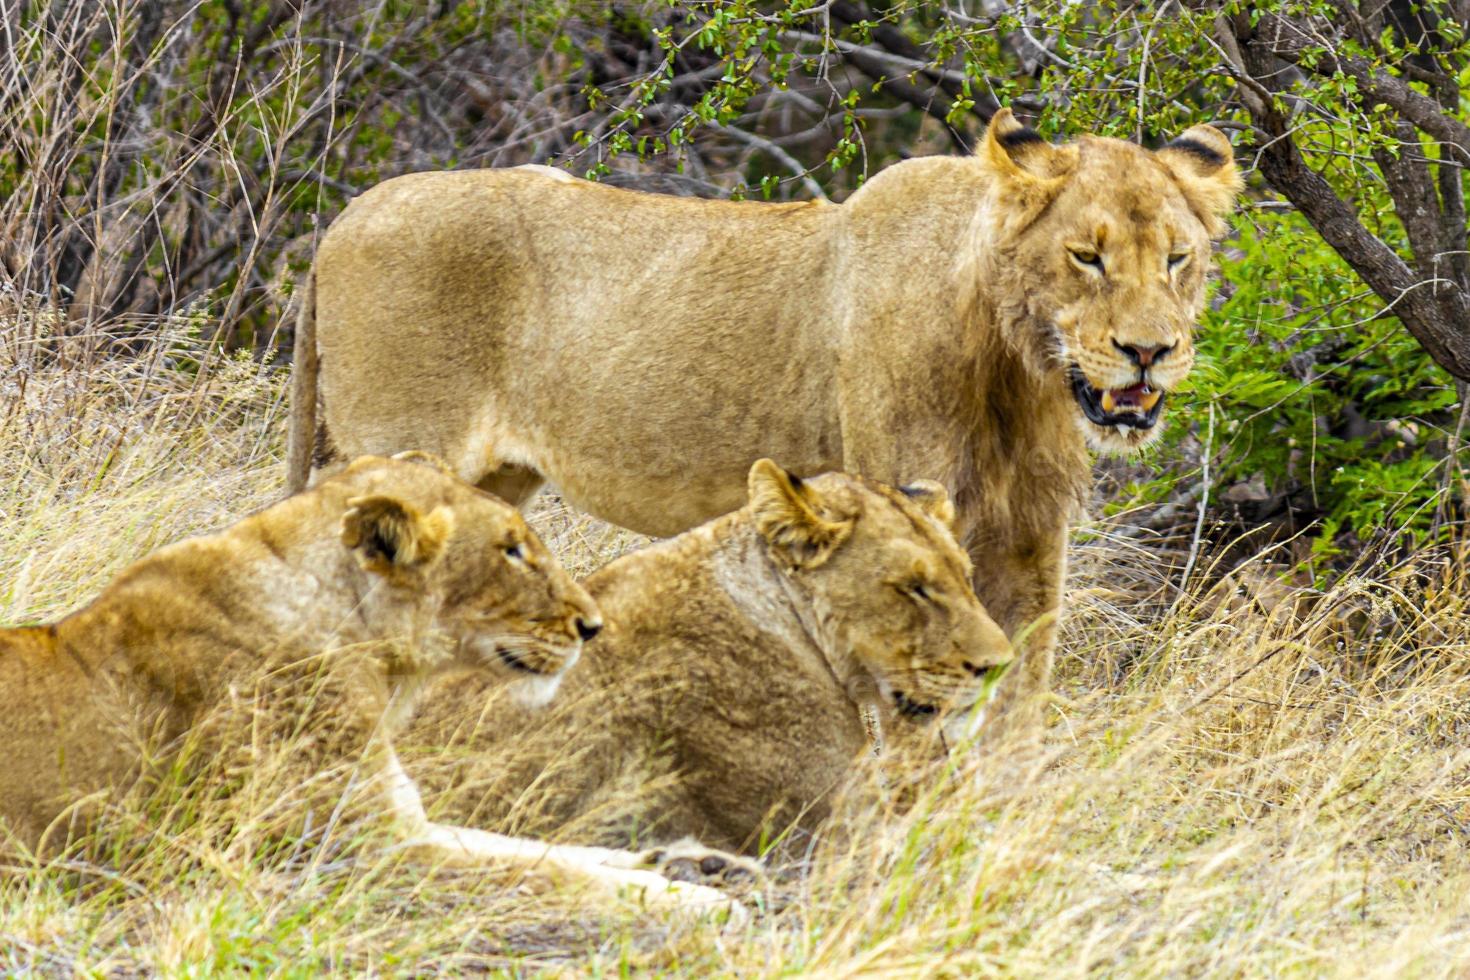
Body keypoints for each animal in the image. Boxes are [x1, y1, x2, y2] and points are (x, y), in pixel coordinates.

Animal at [286, 109, 1240, 734]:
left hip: (493, 478)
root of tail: (347, 214)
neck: (1018, 373)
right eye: (1086, 257)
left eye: (1178, 259)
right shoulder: (906, 515)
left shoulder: (1033, 545)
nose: (1149, 352)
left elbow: (1015, 709)